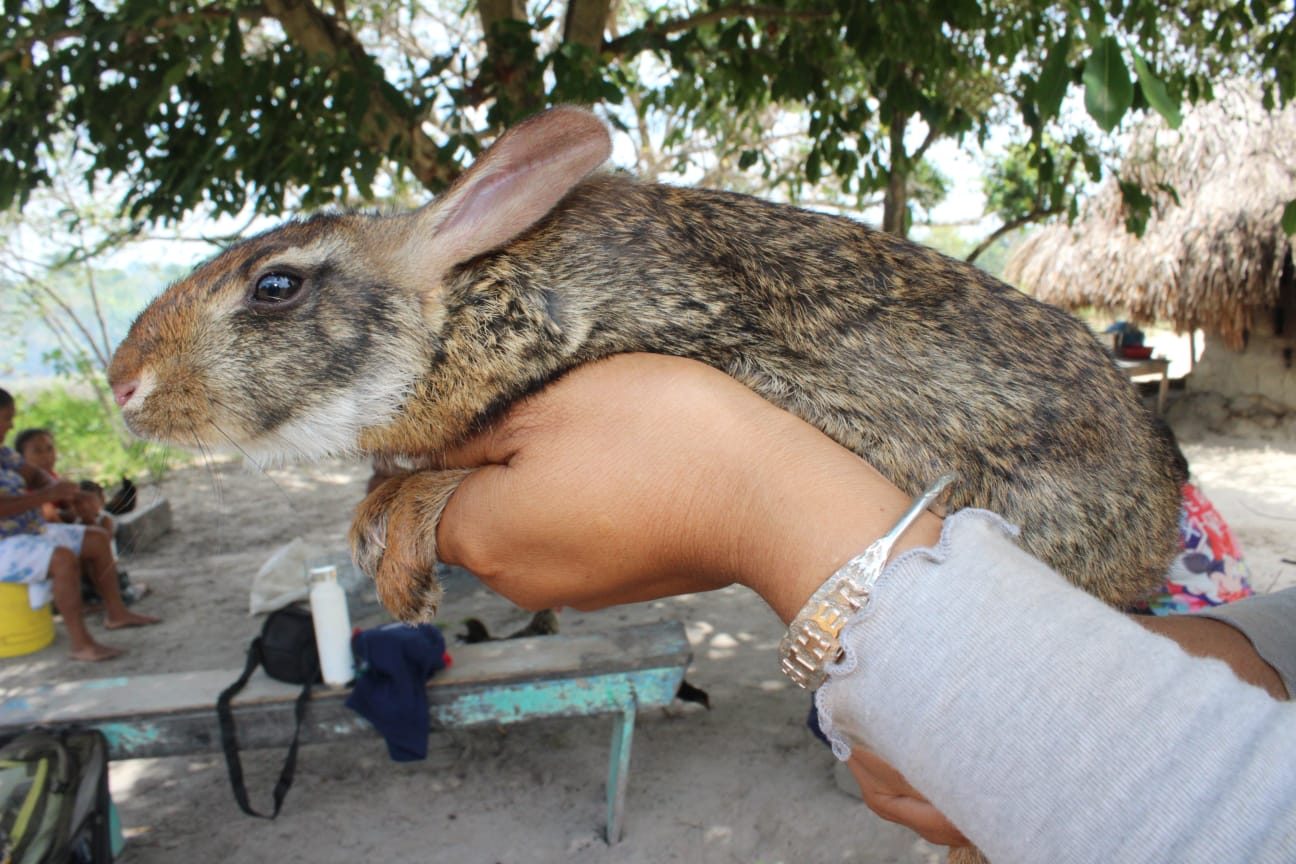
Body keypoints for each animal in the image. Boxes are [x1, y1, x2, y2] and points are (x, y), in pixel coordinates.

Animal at [107, 105, 1183, 628]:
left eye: (275, 287)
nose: (122, 386)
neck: (462, 305)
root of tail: (1160, 535)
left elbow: (434, 481)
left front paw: (401, 551)